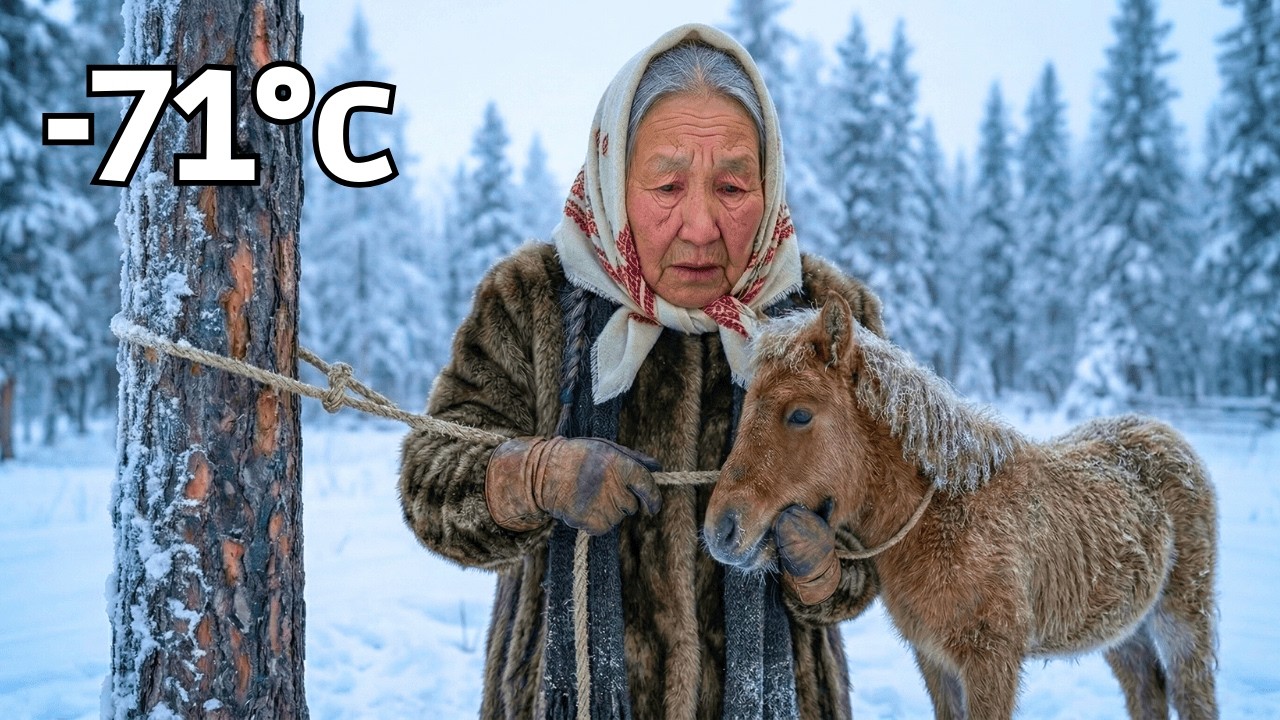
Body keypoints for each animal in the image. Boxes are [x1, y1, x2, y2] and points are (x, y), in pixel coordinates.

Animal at [704, 293, 1218, 719]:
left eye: (800, 414)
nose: (720, 530)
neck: (947, 519)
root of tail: (1162, 433)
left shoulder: (990, 662)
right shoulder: (934, 659)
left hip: (1182, 621)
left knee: (1192, 696)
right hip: (1124, 631)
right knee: (1147, 692)